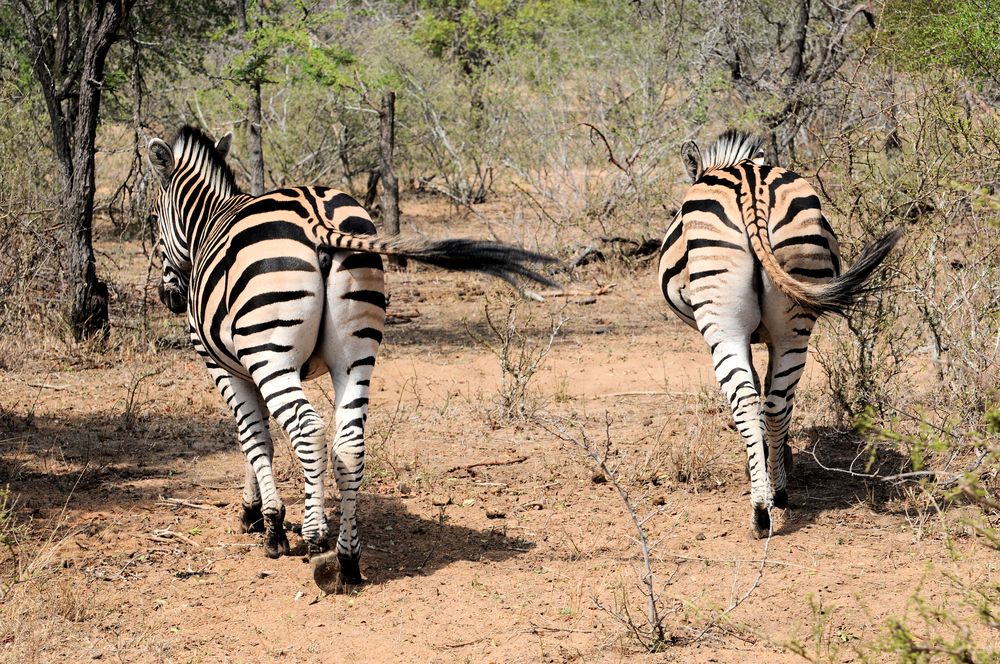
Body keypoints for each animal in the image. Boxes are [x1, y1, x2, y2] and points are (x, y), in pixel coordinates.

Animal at [146, 127, 560, 584]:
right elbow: (261, 438)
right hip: (355, 352)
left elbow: (253, 439)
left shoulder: (222, 365)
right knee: (350, 443)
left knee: (308, 428)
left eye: (152, 218)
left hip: (271, 354)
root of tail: (317, 217)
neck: (207, 221)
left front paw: (266, 521)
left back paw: (314, 540)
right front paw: (258, 510)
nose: (170, 296)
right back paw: (347, 558)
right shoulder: (247, 367)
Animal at [660, 130, 904, 540]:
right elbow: (766, 390)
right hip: (795, 316)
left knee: (745, 399)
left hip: (722, 323)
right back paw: (777, 492)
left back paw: (761, 509)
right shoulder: (768, 336)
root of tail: (750, 184)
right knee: (776, 402)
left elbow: (755, 390)